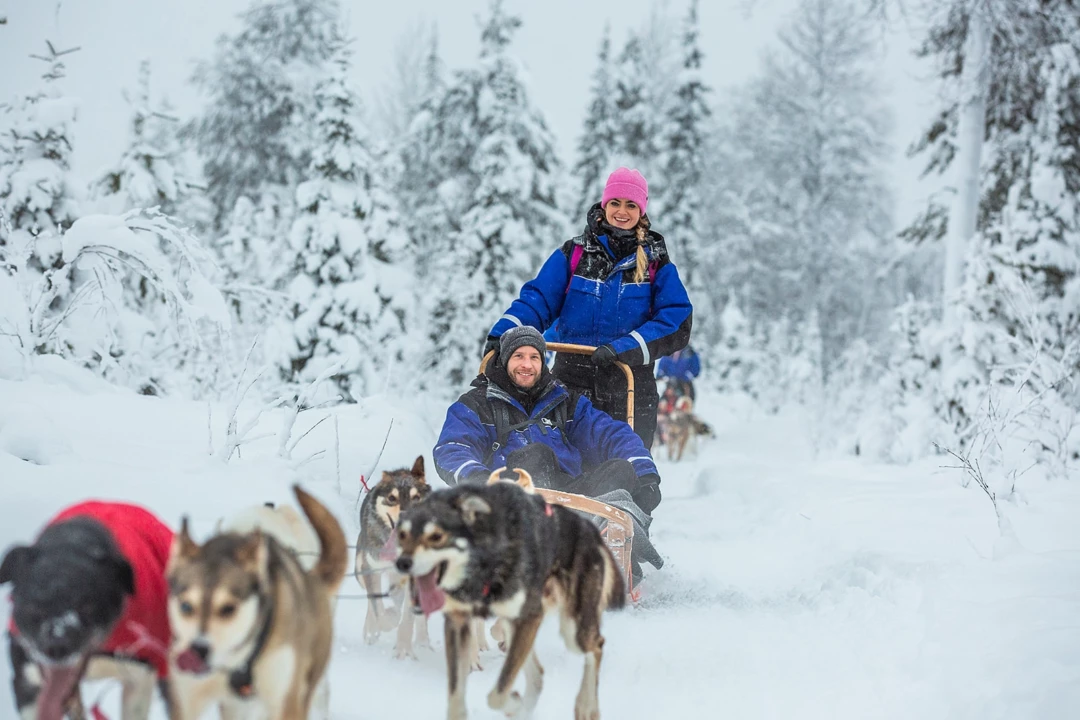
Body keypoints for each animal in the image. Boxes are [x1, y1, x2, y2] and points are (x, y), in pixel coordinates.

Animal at [358, 455, 434, 660]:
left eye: (416, 498)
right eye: (392, 498)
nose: (405, 516)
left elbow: (407, 619)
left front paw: (403, 648)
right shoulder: (371, 568)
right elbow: (377, 606)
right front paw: (387, 620)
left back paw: (423, 641)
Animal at [395, 470, 626, 716]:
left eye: (437, 536)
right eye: (404, 535)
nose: (404, 563)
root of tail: (590, 531)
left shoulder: (527, 615)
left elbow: (500, 686)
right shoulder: (460, 619)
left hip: (573, 630)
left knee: (596, 645)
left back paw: (584, 705)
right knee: (535, 673)